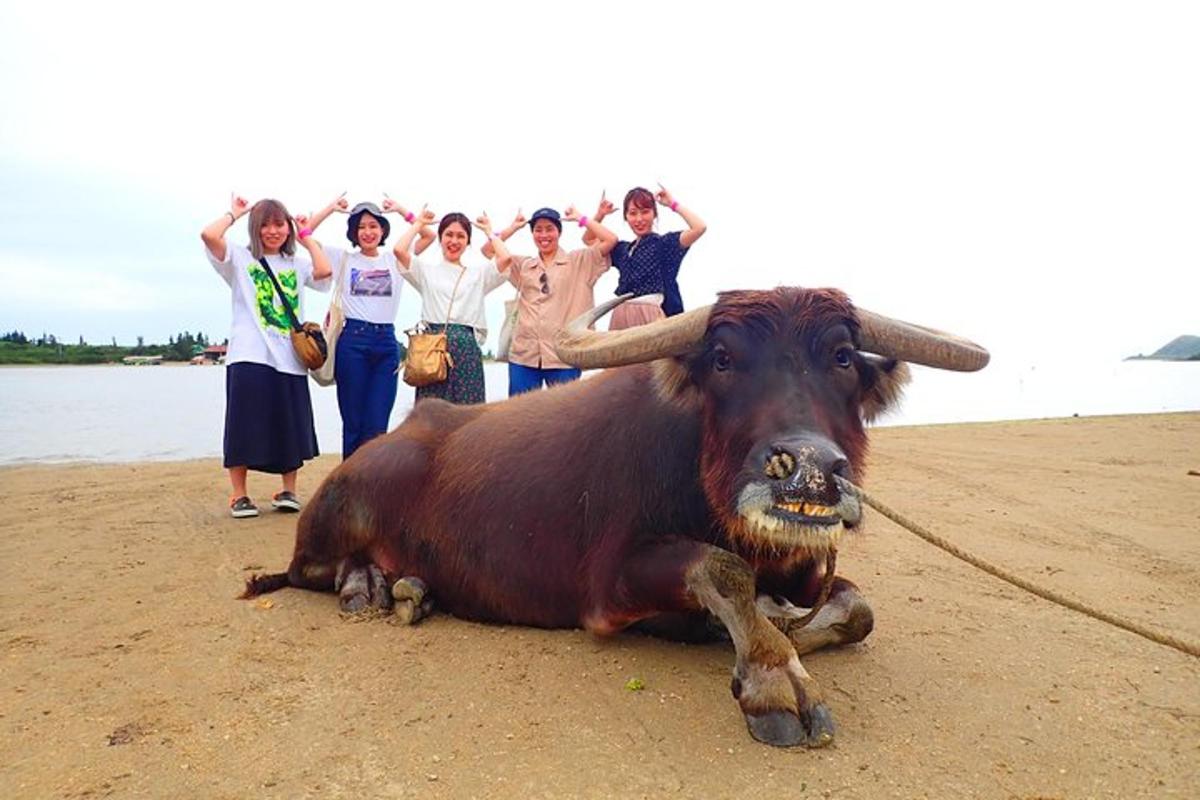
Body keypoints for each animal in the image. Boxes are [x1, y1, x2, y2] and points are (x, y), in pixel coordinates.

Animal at [243, 289, 984, 753]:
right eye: (723, 359)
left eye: (842, 358)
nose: (806, 468)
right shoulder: (608, 586)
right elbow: (723, 570)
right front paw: (776, 676)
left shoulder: (805, 571)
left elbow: (857, 610)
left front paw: (778, 633)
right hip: (350, 500)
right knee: (306, 568)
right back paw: (367, 585)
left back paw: (411, 589)